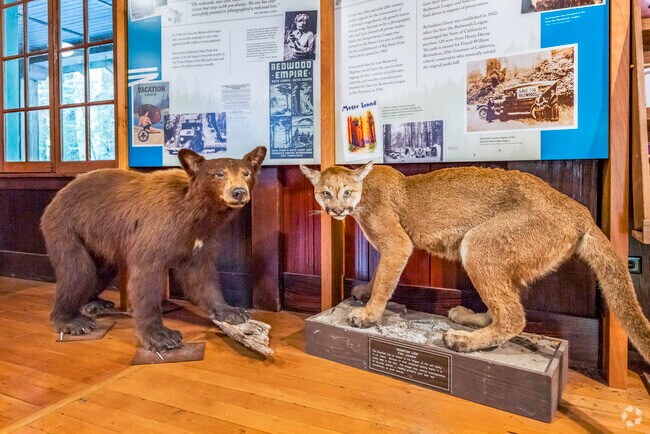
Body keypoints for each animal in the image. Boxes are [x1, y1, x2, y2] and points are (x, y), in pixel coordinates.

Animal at [40, 146, 266, 352]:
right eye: (219, 173)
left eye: (246, 173)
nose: (238, 192)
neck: (197, 214)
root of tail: (59, 194)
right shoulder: (159, 229)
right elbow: (146, 274)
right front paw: (161, 336)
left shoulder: (200, 240)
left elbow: (202, 276)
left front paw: (232, 311)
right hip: (67, 227)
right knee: (77, 271)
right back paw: (71, 320)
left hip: (99, 242)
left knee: (101, 270)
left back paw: (95, 303)